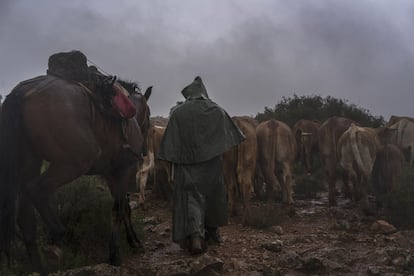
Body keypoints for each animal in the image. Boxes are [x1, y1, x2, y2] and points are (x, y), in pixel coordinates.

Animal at [0, 74, 151, 274]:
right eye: (149, 115)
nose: (144, 150)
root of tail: (22, 92)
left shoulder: (112, 175)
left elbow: (124, 208)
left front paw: (132, 242)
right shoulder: (123, 171)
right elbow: (119, 210)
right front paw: (115, 253)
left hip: (30, 163)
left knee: (26, 217)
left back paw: (40, 268)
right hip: (75, 162)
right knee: (36, 189)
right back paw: (57, 236)